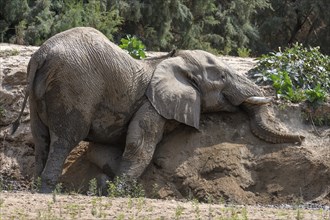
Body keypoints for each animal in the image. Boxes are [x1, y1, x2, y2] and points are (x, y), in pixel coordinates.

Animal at [13, 26, 306, 192]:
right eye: (222, 77)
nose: (301, 138)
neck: (169, 61)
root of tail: (40, 55)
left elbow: (105, 149)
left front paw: (104, 184)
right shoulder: (152, 106)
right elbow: (139, 146)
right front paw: (116, 191)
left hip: (40, 94)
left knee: (41, 138)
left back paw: (36, 185)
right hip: (75, 88)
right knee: (65, 139)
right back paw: (48, 191)